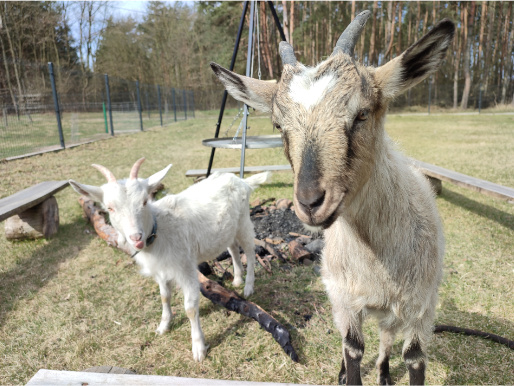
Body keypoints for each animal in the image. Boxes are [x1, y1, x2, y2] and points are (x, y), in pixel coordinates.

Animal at [70, 158, 270, 364]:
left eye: (144, 202)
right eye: (110, 208)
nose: (136, 238)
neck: (159, 229)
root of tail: (242, 181)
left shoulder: (186, 267)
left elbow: (190, 308)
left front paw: (198, 349)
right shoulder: (161, 270)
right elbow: (164, 296)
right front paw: (163, 326)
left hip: (244, 222)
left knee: (249, 250)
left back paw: (248, 287)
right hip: (227, 230)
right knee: (233, 249)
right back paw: (237, 279)